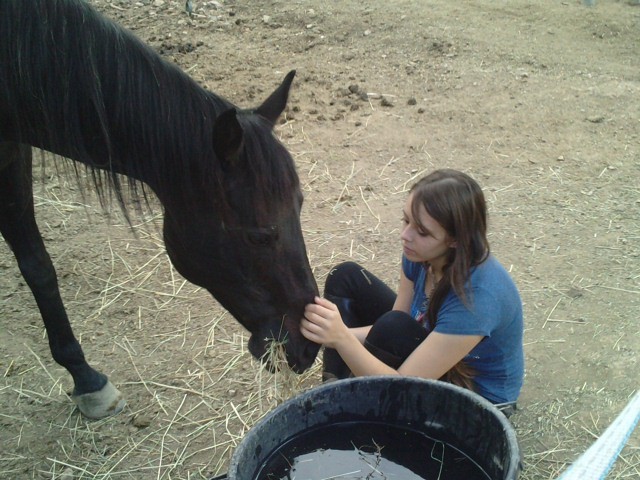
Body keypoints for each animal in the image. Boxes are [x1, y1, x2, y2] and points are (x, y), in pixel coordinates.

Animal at [0, 0, 320, 418]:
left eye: (299, 206)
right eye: (259, 236)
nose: (309, 346)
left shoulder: (12, 153)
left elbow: (38, 267)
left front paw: (85, 377)